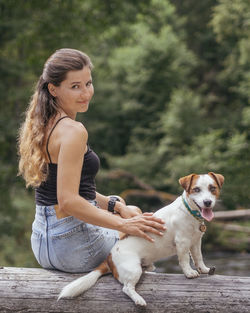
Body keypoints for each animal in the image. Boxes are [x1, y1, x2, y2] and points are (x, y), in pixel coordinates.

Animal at [58, 171, 225, 304]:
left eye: (212, 188)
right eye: (196, 189)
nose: (207, 202)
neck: (189, 212)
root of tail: (109, 258)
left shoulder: (196, 241)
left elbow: (198, 257)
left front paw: (204, 269)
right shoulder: (182, 242)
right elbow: (184, 260)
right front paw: (189, 273)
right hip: (133, 269)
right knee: (126, 288)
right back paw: (139, 300)